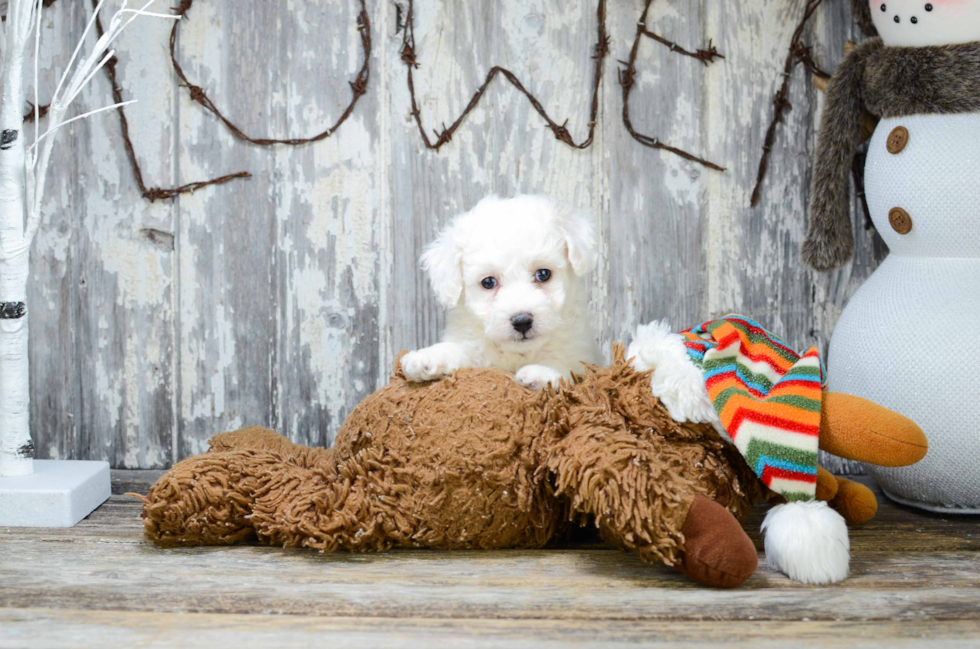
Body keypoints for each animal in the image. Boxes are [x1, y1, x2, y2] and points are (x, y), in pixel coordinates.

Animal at [402, 195, 600, 390]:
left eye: (543, 274)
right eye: (488, 282)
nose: (522, 321)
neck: (517, 353)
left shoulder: (578, 354)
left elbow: (563, 363)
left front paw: (542, 373)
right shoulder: (475, 351)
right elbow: (460, 351)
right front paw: (426, 358)